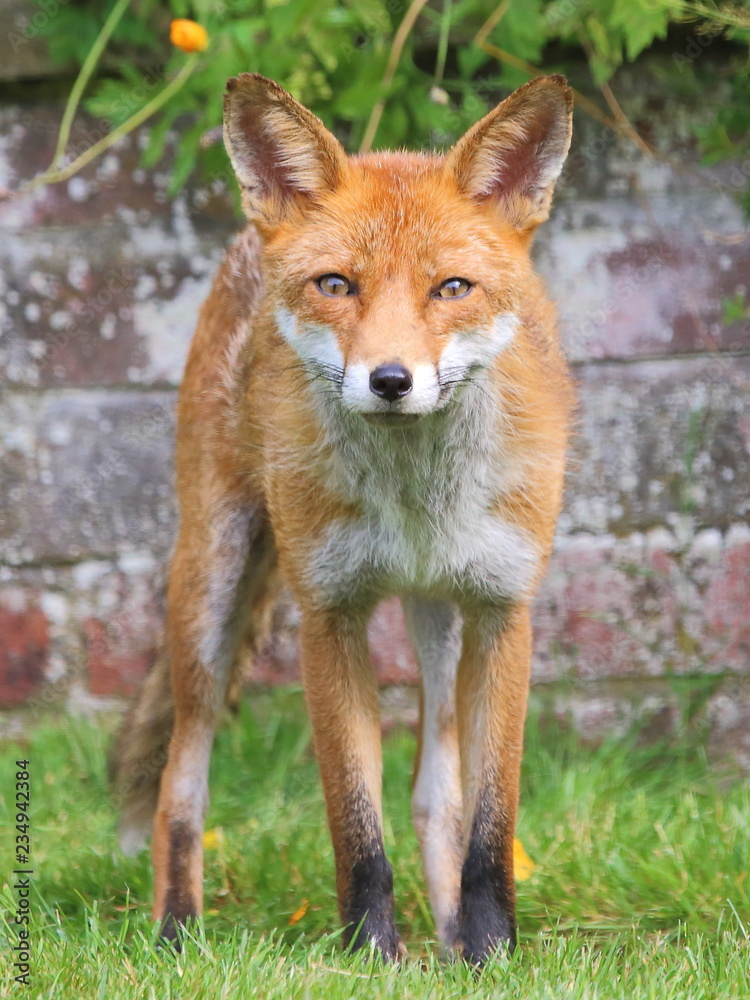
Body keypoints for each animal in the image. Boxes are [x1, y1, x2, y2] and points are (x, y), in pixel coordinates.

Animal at [111, 71, 575, 965]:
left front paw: (489, 952)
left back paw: (449, 941)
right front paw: (372, 958)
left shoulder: (504, 611)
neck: (415, 498)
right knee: (182, 778)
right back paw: (176, 930)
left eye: (451, 289)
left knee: (435, 790)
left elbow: (487, 824)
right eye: (336, 285)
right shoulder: (330, 614)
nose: (391, 380)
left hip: (439, 620)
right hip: (211, 587)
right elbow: (356, 826)